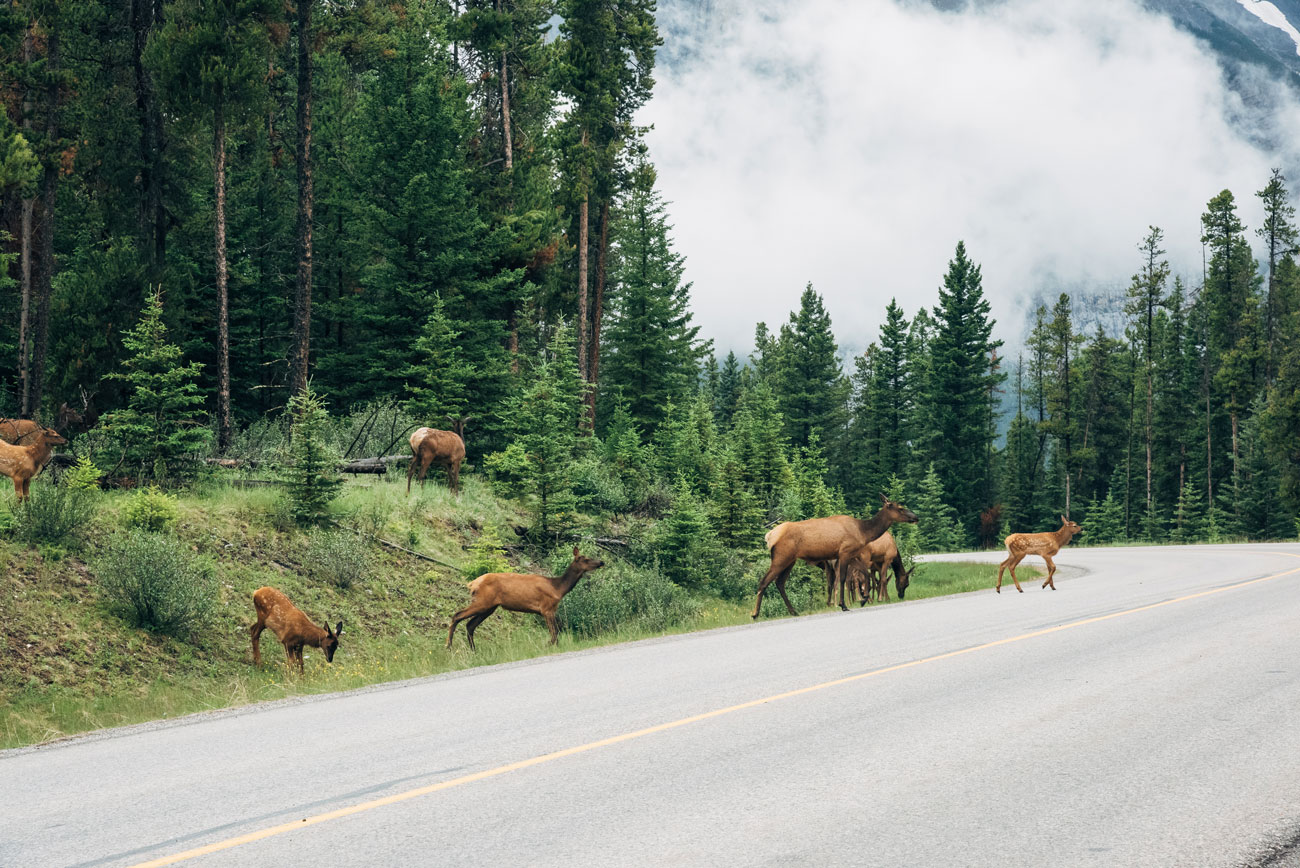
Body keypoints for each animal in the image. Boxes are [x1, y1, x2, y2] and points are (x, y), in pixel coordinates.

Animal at [444, 545, 605, 647]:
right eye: (585, 559)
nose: (601, 562)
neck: (558, 588)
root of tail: (472, 584)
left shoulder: (548, 611)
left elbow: (557, 631)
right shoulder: (546, 609)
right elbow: (555, 632)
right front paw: (548, 645)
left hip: (489, 607)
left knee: (470, 625)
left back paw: (473, 650)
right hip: (482, 602)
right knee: (457, 615)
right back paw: (449, 646)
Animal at [748, 493, 920, 615]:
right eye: (900, 507)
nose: (916, 516)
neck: (864, 532)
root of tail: (769, 536)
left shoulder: (852, 555)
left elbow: (864, 575)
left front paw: (863, 599)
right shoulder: (845, 552)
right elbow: (843, 579)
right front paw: (843, 605)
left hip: (791, 560)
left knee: (779, 583)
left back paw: (793, 611)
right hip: (781, 557)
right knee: (764, 581)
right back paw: (755, 613)